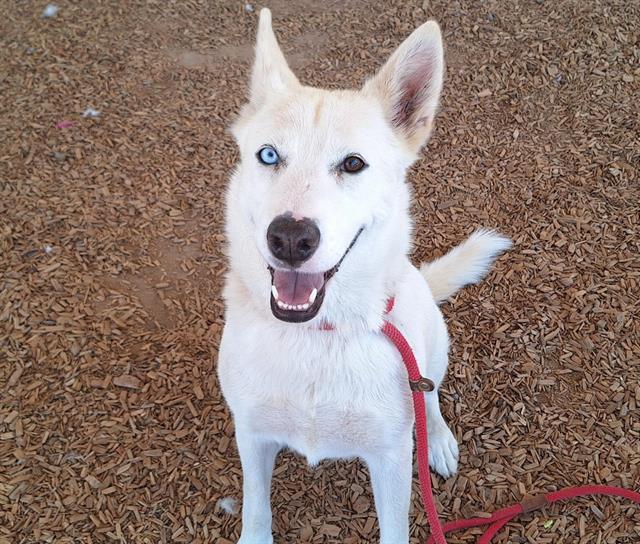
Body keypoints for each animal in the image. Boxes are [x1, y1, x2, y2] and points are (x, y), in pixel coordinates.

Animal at [219, 9, 510, 544]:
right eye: (268, 155)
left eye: (353, 164)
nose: (290, 238)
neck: (317, 335)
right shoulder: (252, 434)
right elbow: (255, 511)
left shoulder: (390, 457)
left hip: (432, 348)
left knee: (429, 397)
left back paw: (438, 440)